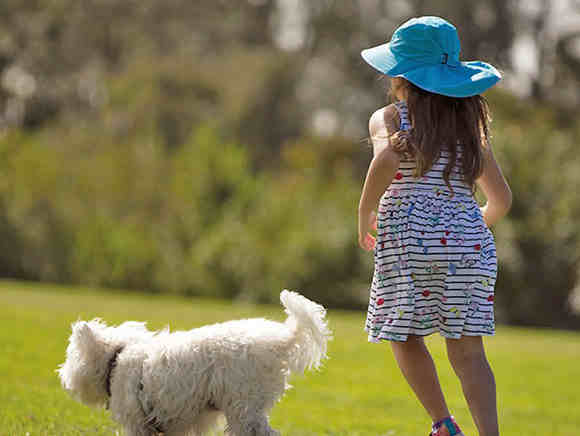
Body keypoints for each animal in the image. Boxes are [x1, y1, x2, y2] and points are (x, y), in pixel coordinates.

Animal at [60, 290, 330, 436]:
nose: (62, 375)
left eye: (70, 356)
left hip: (243, 406)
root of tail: (281, 339)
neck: (116, 358)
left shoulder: (138, 423)